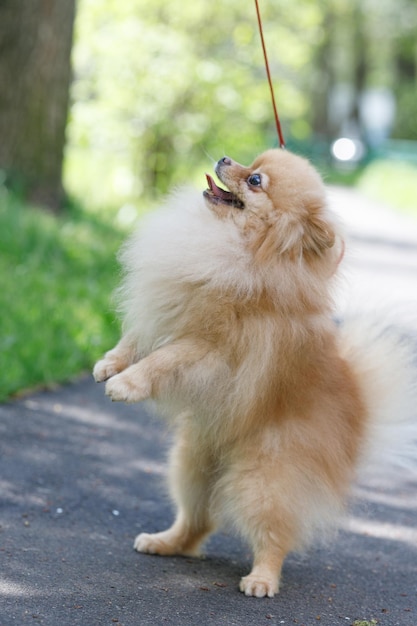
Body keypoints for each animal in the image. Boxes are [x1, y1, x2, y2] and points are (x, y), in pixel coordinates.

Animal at [92, 146, 414, 596]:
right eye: (252, 162)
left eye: (256, 181)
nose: (226, 158)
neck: (241, 247)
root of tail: (359, 417)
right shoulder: (169, 312)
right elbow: (134, 340)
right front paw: (109, 364)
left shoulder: (209, 349)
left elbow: (162, 359)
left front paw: (126, 383)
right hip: (194, 462)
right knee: (198, 520)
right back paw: (164, 543)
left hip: (263, 478)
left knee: (273, 534)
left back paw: (262, 579)